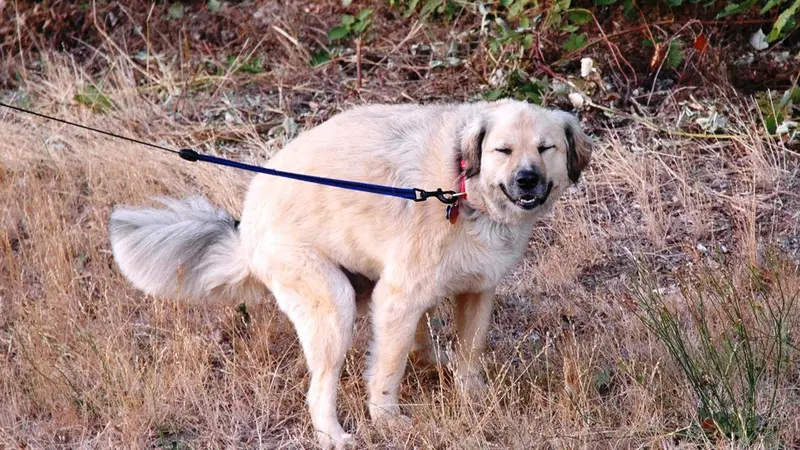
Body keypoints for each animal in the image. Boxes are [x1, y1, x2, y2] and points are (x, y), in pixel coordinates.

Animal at [108, 99, 588, 450]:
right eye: (502, 150)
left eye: (545, 148)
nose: (526, 180)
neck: (460, 188)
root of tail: (246, 230)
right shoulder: (398, 297)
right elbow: (387, 371)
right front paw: (388, 421)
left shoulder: (477, 291)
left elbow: (469, 354)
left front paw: (474, 399)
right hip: (333, 306)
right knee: (320, 391)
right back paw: (334, 436)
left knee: (416, 341)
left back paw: (432, 362)